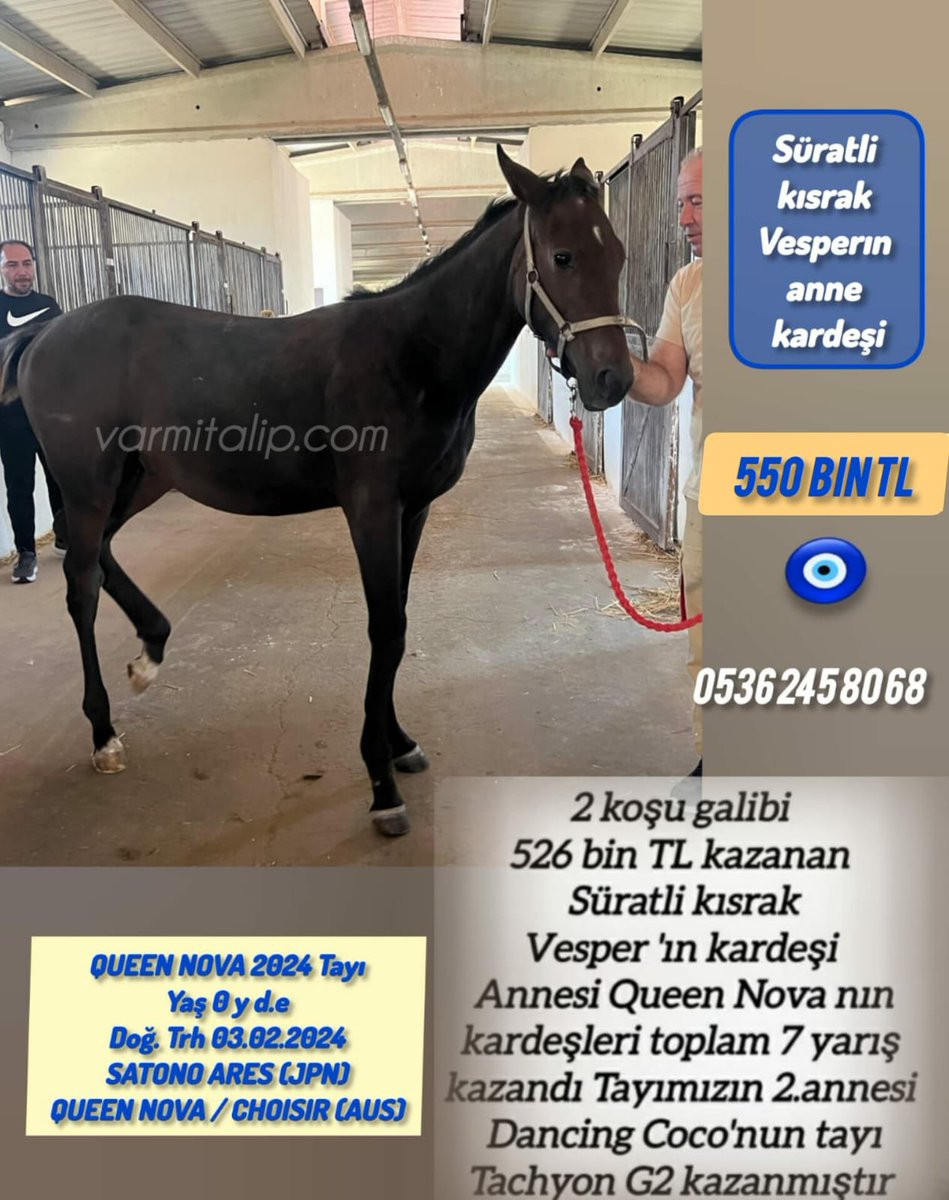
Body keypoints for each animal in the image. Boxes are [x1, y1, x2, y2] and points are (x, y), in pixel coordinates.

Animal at [0, 146, 634, 837]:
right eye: (563, 256)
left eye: (617, 253)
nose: (614, 379)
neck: (411, 355)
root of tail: (44, 335)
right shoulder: (372, 509)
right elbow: (386, 628)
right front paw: (381, 783)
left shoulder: (413, 510)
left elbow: (399, 619)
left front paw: (399, 742)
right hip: (90, 485)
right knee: (81, 585)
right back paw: (104, 734)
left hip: (137, 481)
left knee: (97, 557)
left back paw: (151, 650)